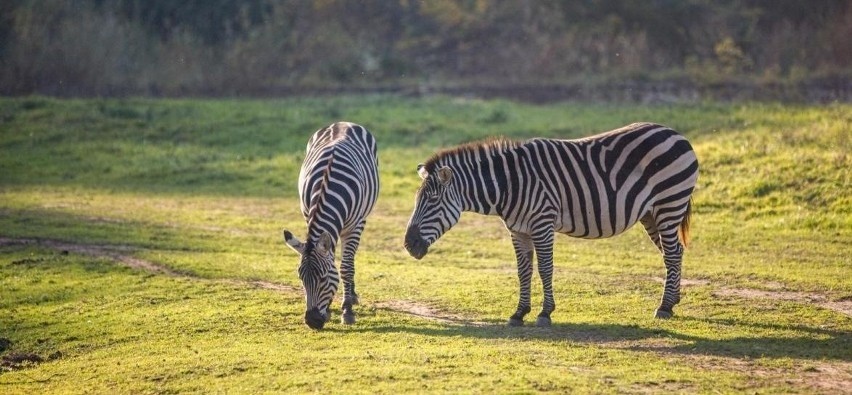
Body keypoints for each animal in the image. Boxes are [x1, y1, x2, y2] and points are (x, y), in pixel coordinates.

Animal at [282, 121, 378, 332]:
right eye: (301, 279)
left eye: (324, 278)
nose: (312, 321)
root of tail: (344, 123)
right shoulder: (308, 215)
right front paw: (329, 309)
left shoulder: (354, 226)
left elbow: (346, 268)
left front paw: (347, 310)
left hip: (362, 219)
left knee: (350, 259)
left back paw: (352, 295)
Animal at [404, 122, 700, 326]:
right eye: (417, 200)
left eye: (432, 201)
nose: (408, 245)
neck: (509, 184)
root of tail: (676, 133)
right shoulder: (518, 230)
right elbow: (523, 271)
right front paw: (519, 313)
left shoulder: (542, 224)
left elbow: (545, 269)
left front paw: (545, 313)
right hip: (651, 213)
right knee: (674, 253)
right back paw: (672, 302)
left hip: (669, 204)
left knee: (672, 254)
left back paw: (664, 307)